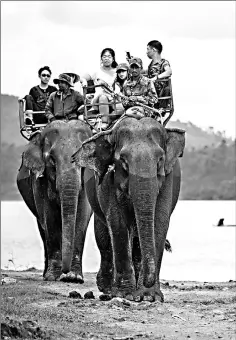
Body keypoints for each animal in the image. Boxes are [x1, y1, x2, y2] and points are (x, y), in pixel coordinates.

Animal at [16, 119, 93, 282]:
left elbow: (82, 215)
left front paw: (74, 278)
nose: (66, 273)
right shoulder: (39, 179)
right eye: (51, 159)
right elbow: (49, 215)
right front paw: (53, 277)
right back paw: (46, 274)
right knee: (42, 227)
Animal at [71, 115, 184, 302]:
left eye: (160, 160)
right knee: (104, 237)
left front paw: (149, 297)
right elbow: (117, 223)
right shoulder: (107, 180)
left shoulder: (169, 178)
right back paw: (107, 289)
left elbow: (159, 221)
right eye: (123, 161)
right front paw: (126, 294)